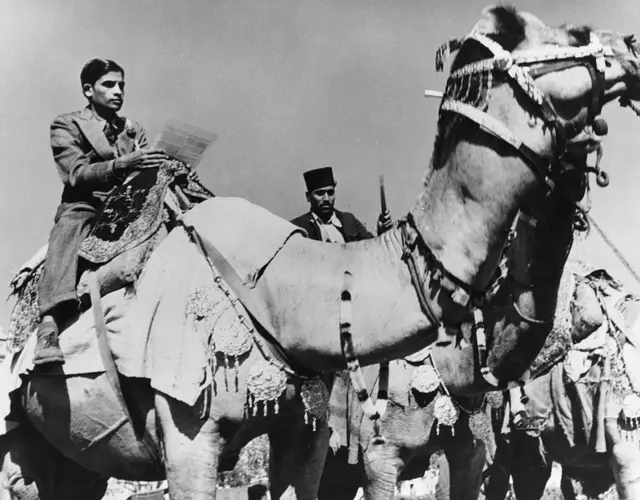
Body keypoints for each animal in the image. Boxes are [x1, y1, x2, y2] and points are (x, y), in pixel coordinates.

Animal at [3, 4, 640, 500]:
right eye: (572, 33)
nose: (630, 45)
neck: (276, 289)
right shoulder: (190, 421)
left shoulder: (309, 432)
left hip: (73, 453)